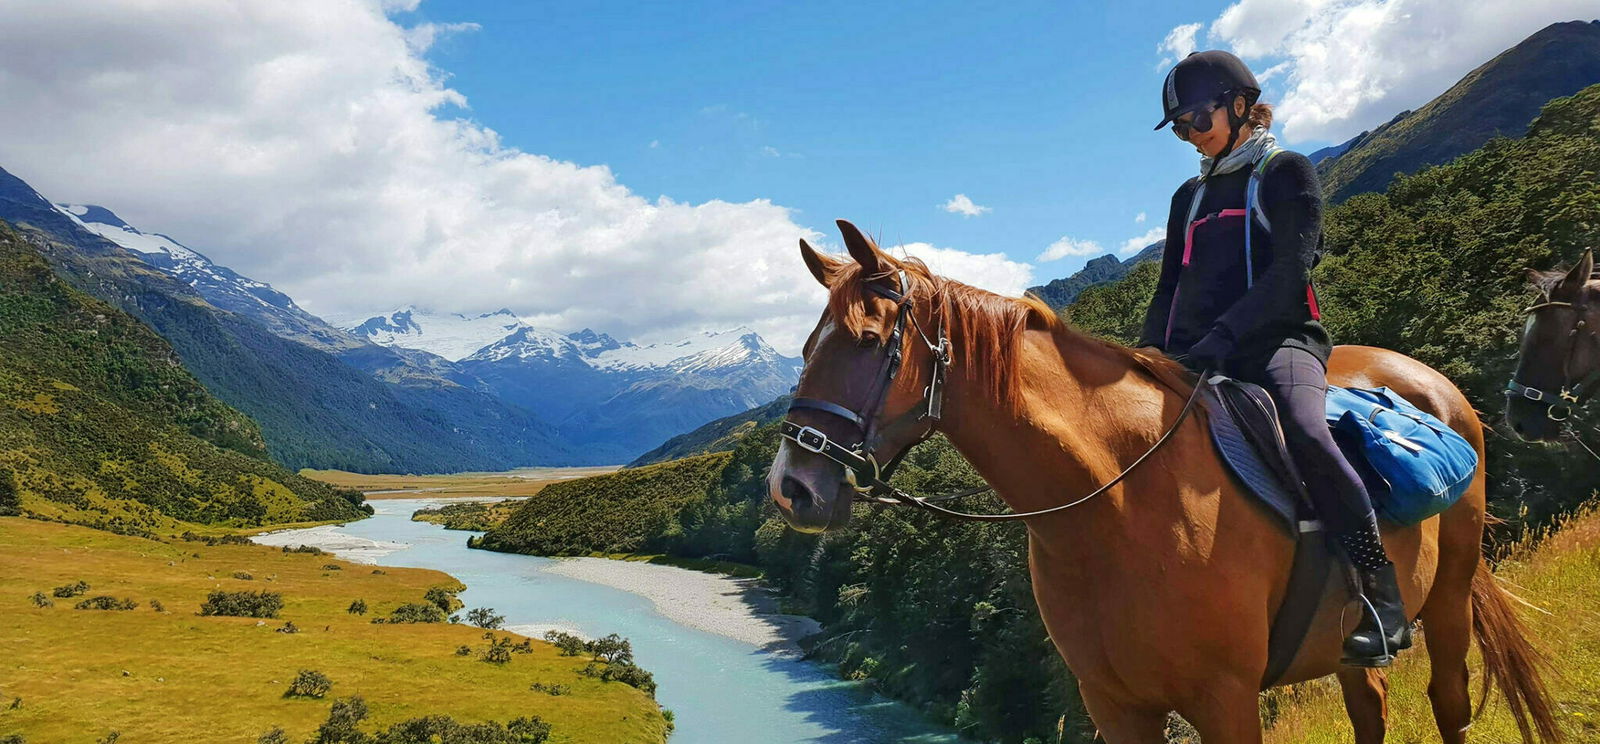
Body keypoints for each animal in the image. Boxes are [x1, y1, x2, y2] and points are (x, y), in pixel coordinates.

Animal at [769, 219, 1560, 744]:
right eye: (806, 347)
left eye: (868, 341)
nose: (790, 488)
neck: (1119, 505)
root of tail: (1435, 386)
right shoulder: (1116, 706)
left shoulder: (1227, 700)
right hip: (1350, 648)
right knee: (1372, 704)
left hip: (1449, 597)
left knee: (1448, 699)